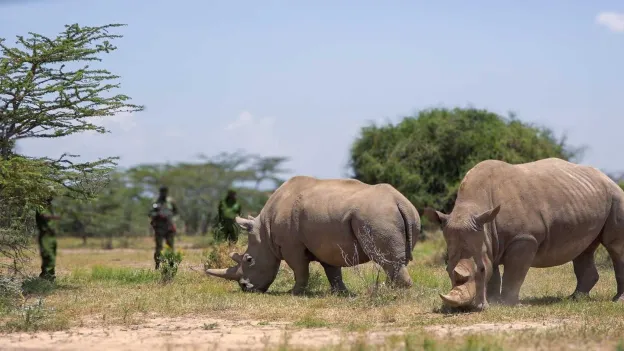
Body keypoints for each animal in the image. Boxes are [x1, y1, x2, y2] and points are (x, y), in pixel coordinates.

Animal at [205, 175, 420, 294]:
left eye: (249, 260)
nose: (244, 287)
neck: (264, 231)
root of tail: (400, 202)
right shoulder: (327, 244)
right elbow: (332, 271)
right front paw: (340, 293)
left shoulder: (292, 246)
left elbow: (300, 270)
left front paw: (294, 293)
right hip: (403, 215)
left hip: (377, 215)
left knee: (388, 262)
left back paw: (390, 293)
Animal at [424, 159, 624, 310]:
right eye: (447, 269)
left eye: (480, 270)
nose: (463, 308)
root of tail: (608, 178)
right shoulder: (488, 240)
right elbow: (493, 272)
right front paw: (492, 302)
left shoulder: (524, 238)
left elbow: (514, 273)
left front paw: (506, 304)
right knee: (583, 250)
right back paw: (575, 298)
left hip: (616, 197)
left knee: (614, 247)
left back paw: (616, 301)